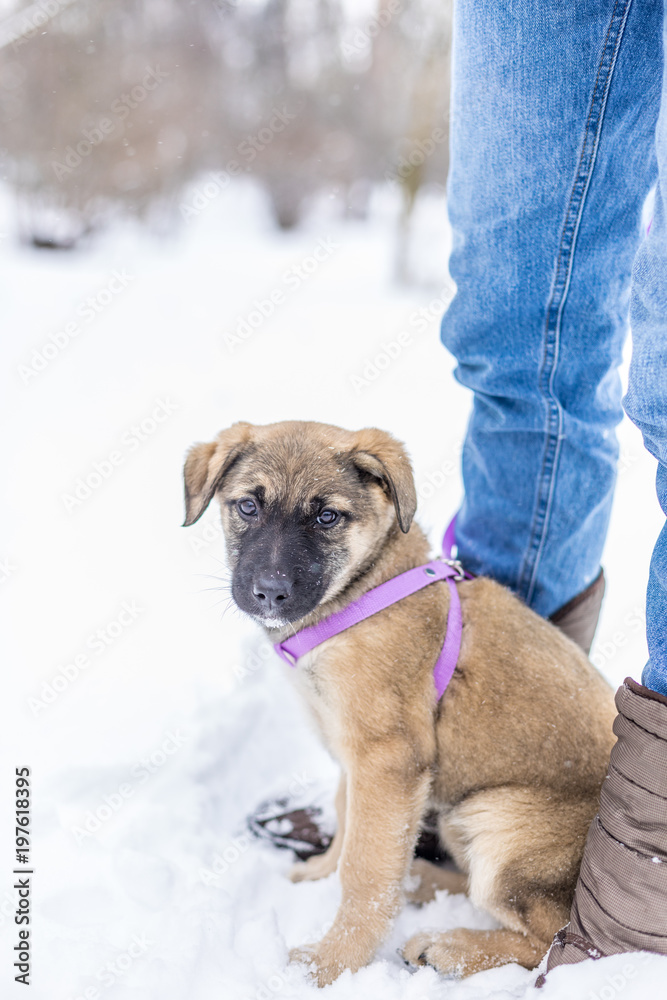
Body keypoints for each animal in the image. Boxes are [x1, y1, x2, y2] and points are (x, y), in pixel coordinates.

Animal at [181, 420, 616, 984]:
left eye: (326, 516)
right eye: (248, 506)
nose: (270, 593)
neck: (362, 591)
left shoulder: (386, 757)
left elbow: (365, 870)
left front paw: (331, 963)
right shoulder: (356, 753)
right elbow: (347, 821)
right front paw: (322, 873)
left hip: (500, 822)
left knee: (554, 940)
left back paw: (447, 945)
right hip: (459, 818)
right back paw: (419, 882)